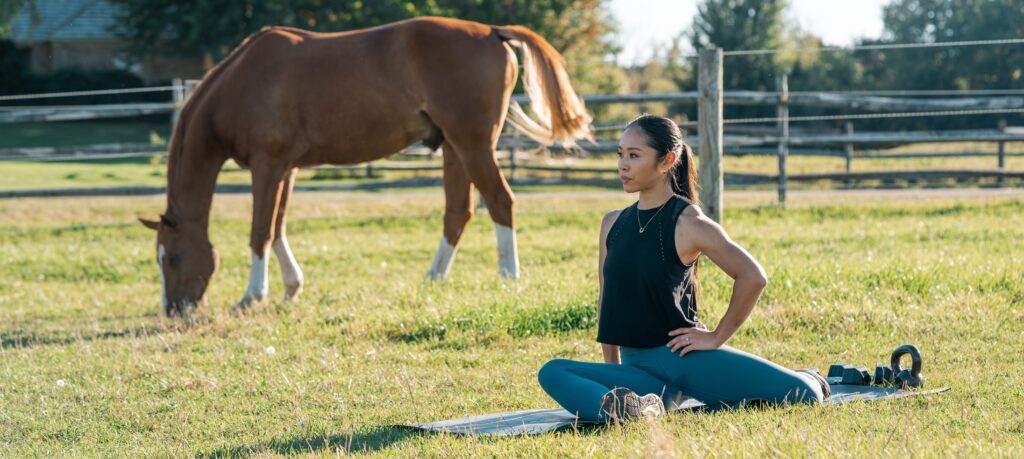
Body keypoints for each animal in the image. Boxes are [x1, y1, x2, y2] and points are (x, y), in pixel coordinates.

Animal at [140, 15, 598, 315]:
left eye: (173, 258)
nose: (174, 310)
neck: (242, 82)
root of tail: (491, 32)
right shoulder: (287, 169)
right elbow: (279, 227)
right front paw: (291, 287)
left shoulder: (267, 166)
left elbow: (261, 231)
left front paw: (254, 294)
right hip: (454, 148)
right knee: (458, 212)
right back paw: (434, 278)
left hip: (473, 146)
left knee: (500, 202)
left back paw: (508, 275)